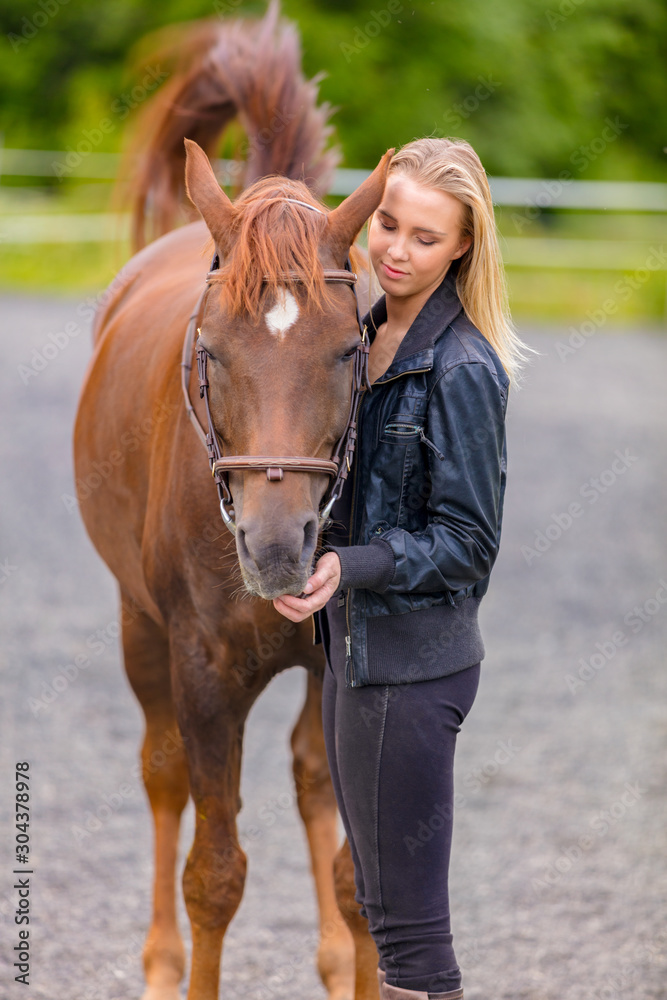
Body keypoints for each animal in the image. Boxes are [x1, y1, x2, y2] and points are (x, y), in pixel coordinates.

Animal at [73, 4, 392, 999]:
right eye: (208, 349)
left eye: (352, 345)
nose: (279, 548)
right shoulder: (203, 674)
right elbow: (213, 875)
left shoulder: (342, 671)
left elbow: (355, 871)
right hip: (139, 625)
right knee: (162, 776)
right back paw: (159, 964)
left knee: (309, 785)